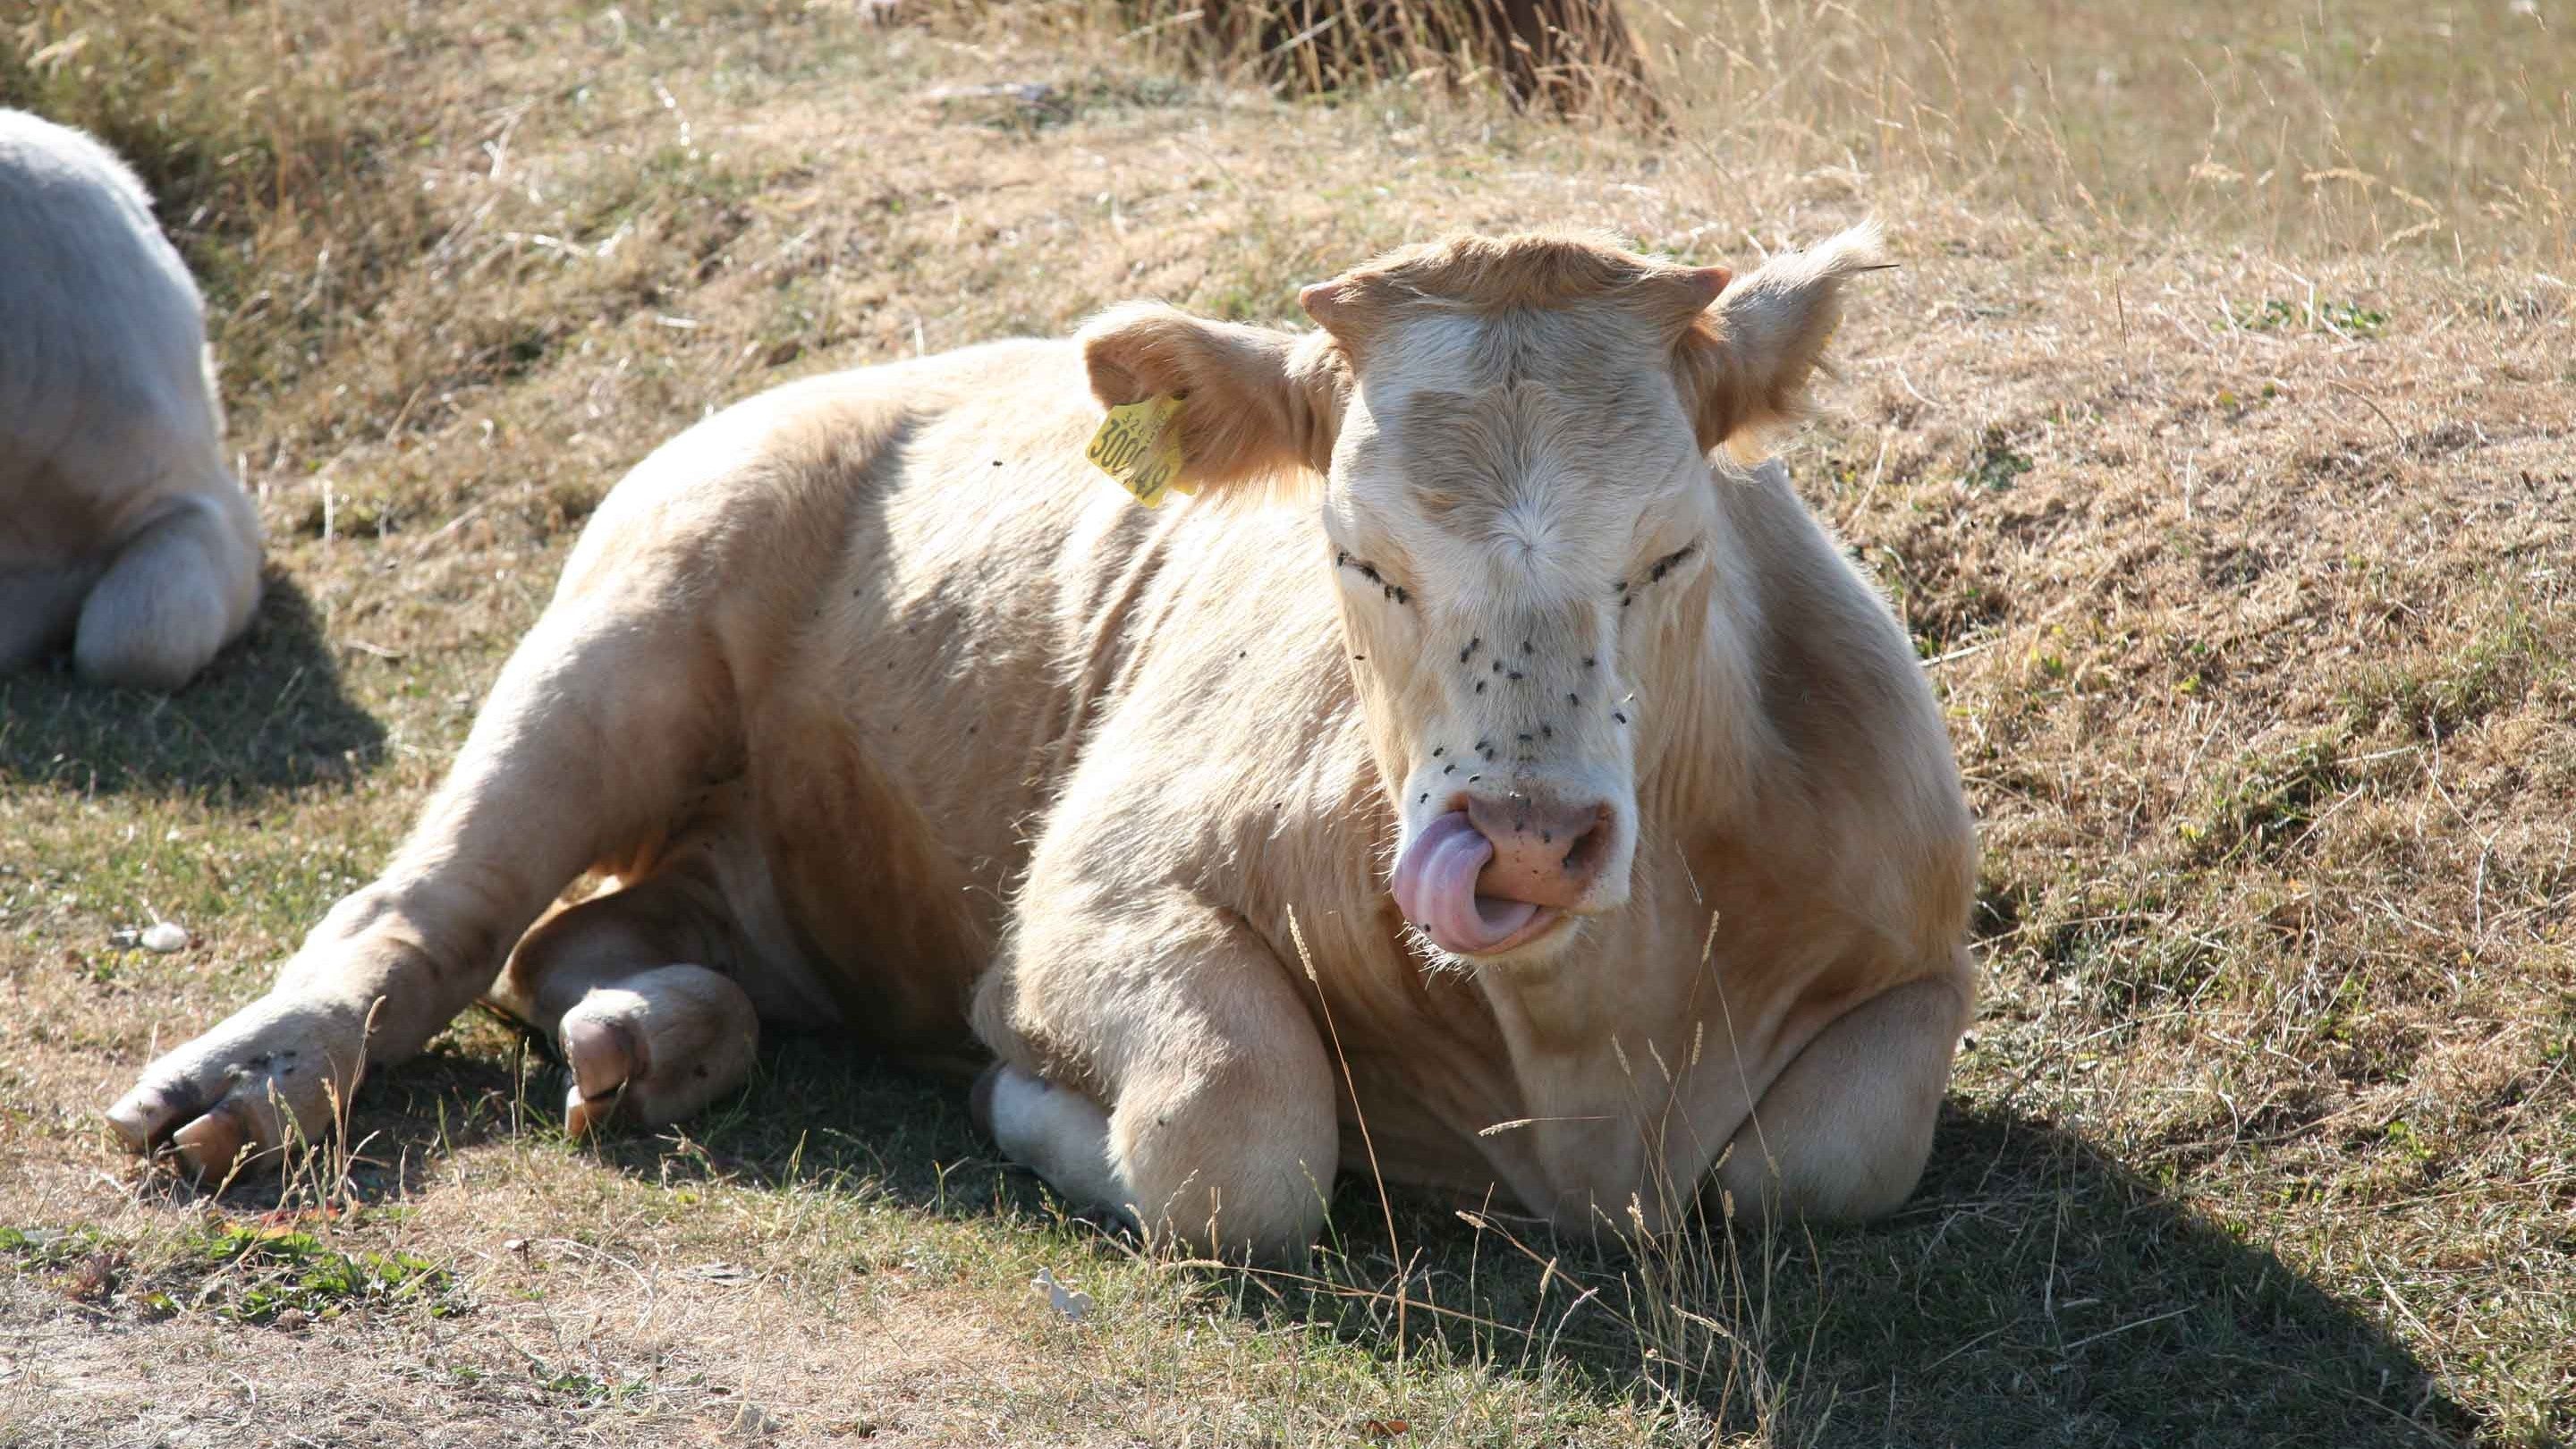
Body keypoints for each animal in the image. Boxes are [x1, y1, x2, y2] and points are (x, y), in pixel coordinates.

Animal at [105, 225, 1975, 1261]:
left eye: (1672, 550)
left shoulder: (1922, 963)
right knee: (425, 917)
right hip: (620, 634)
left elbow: (1821, 1160)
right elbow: (1235, 1137)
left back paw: (655, 1036)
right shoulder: (1089, 902)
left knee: (569, 944)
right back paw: (238, 1089)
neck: (1586, 1055)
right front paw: (1031, 1108)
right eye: (1358, 555)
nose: (1517, 841)